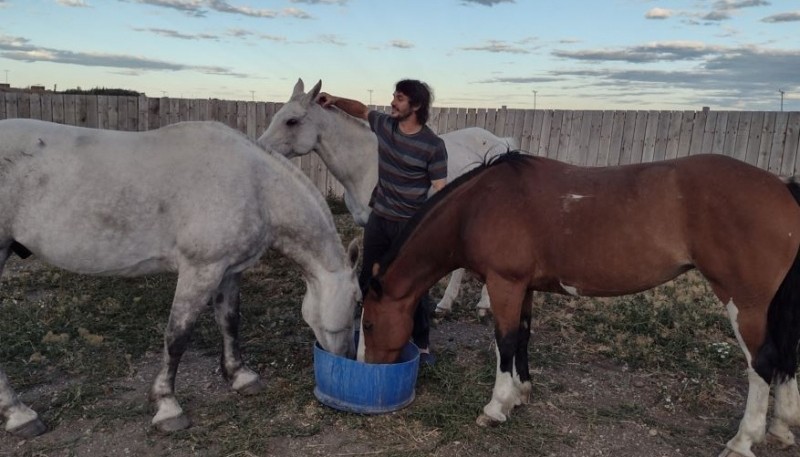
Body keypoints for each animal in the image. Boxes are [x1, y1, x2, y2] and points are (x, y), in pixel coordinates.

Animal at [0, 119, 360, 436]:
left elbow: (229, 321)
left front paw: (240, 376)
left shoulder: (228, 270)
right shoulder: (199, 270)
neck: (255, 185)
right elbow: (177, 336)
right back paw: (20, 415)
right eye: (358, 303)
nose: (345, 357)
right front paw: (167, 407)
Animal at [256, 79, 520, 314]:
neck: (364, 165)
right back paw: (446, 304)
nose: (259, 150)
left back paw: (484, 305)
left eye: (291, 121)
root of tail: (500, 143)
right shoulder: (370, 226)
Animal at [360, 151, 800, 456]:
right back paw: (781, 426)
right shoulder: (524, 287)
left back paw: (743, 441)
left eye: (368, 324)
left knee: (761, 364)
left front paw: (496, 407)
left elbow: (504, 343)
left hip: (744, 302)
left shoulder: (504, 284)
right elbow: (522, 338)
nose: (367, 367)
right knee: (785, 359)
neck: (480, 204)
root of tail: (782, 187)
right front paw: (521, 393)